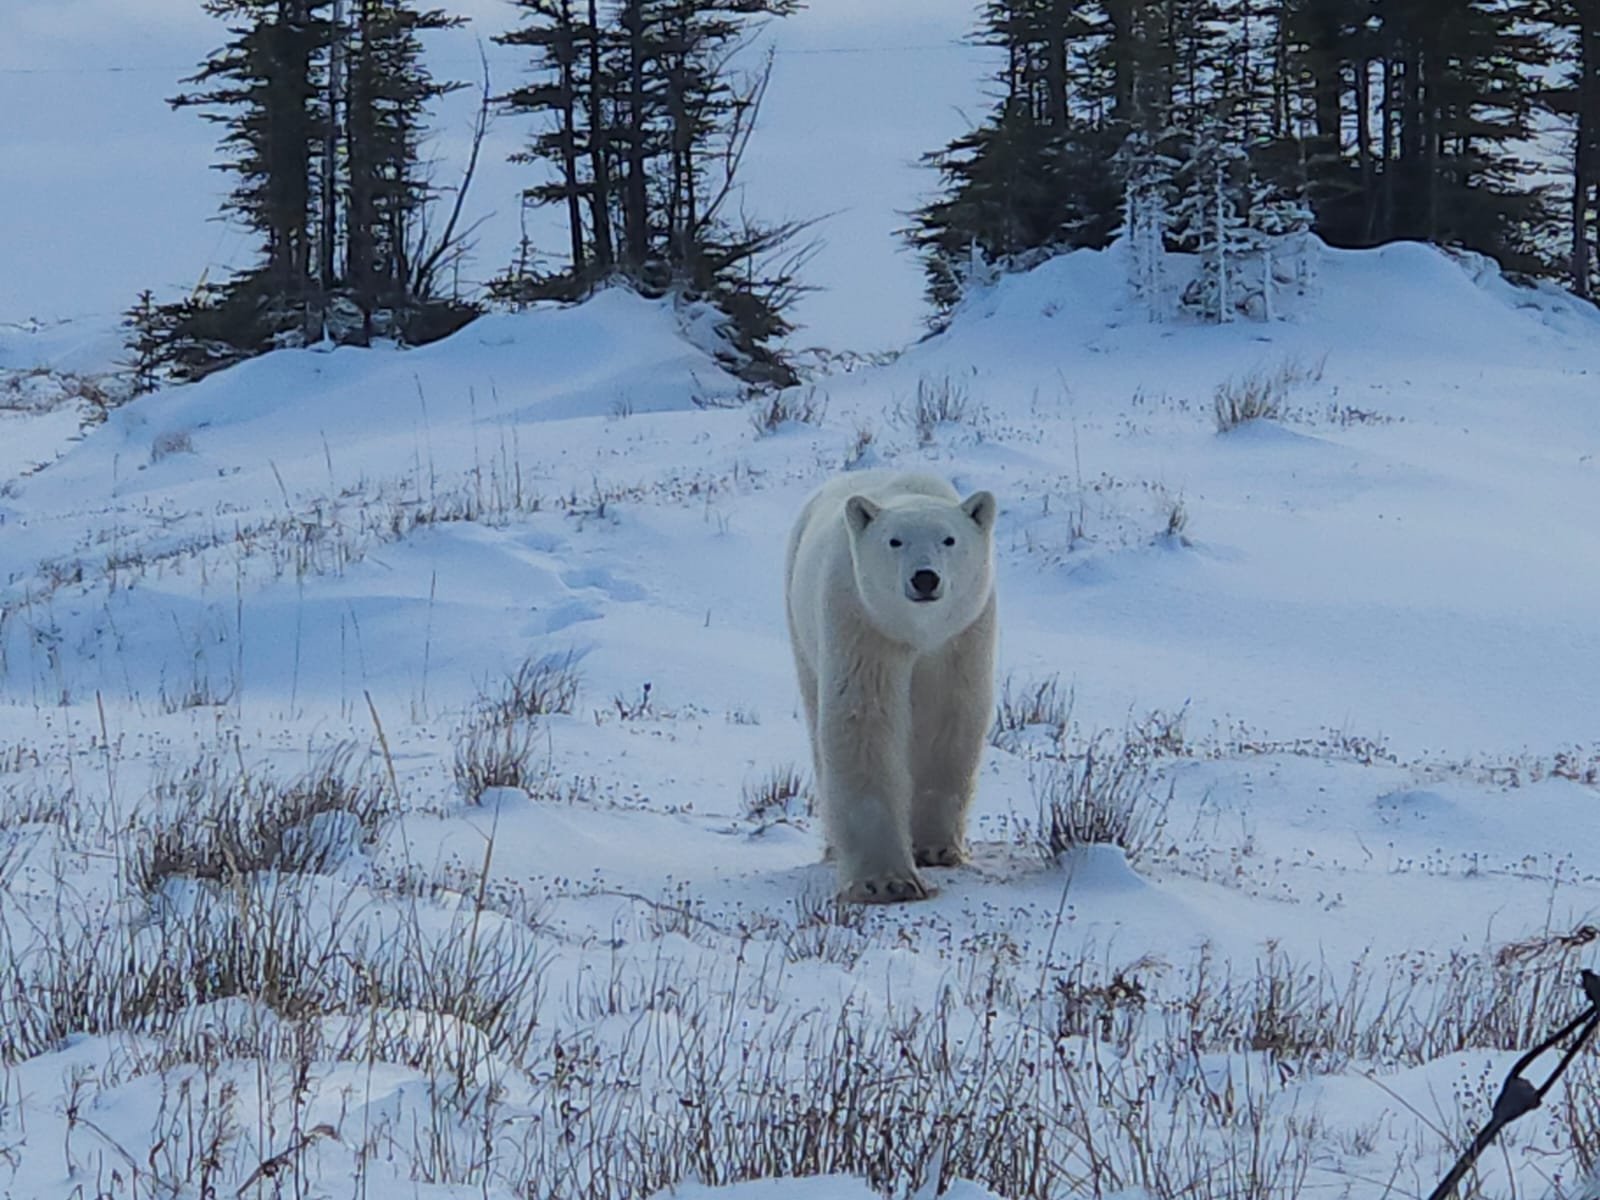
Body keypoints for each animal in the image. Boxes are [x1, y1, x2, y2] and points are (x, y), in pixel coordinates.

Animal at [784, 470, 998, 903]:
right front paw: (886, 882)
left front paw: (934, 847)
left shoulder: (963, 635)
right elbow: (864, 721)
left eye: (949, 539)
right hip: (801, 626)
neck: (916, 632)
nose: (925, 578)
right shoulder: (862, 621)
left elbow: (950, 720)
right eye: (894, 541)